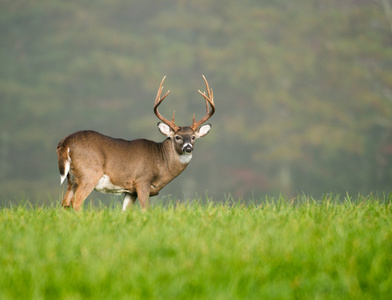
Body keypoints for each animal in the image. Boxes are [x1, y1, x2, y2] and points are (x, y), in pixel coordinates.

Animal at [56, 75, 214, 211]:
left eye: (193, 137)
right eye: (177, 137)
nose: (188, 148)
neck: (161, 162)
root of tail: (66, 141)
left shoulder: (130, 190)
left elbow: (125, 211)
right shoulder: (142, 181)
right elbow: (145, 209)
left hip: (72, 178)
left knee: (65, 203)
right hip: (89, 173)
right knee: (76, 202)